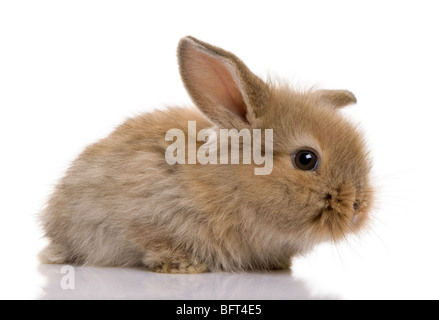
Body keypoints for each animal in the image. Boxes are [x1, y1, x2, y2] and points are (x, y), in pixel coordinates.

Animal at [38, 37, 374, 272]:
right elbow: (154, 241)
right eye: (306, 159)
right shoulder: (147, 214)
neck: (234, 186)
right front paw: (184, 265)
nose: (357, 206)